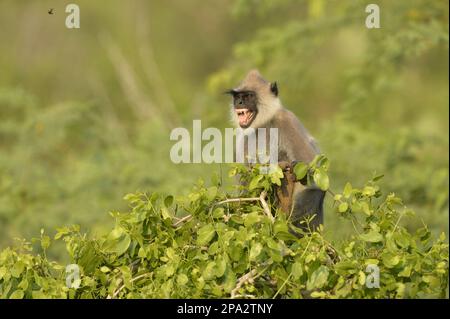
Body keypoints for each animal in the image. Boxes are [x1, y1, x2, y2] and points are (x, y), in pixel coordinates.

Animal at [227, 70, 326, 232]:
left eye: (248, 96)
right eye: (237, 97)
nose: (239, 102)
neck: (262, 125)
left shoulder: (286, 119)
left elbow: (314, 173)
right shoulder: (242, 140)